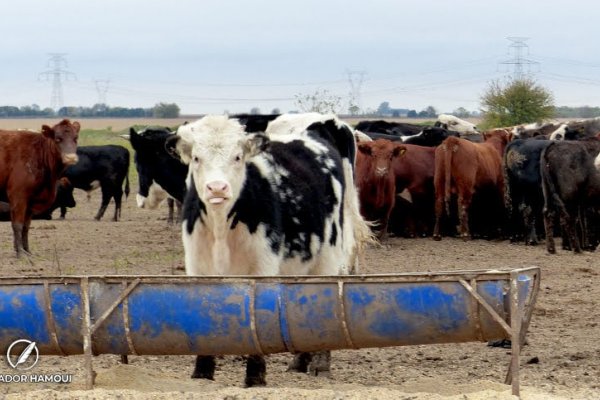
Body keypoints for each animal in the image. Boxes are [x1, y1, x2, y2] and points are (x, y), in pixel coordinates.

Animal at [0, 119, 79, 256]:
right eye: (58, 139)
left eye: (76, 138)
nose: (71, 158)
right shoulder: (18, 197)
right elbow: (17, 225)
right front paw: (20, 253)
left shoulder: (31, 202)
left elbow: (26, 226)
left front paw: (27, 250)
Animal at [165, 115, 360, 388]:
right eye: (196, 158)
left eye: (237, 157)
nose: (217, 188)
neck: (220, 226)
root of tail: (321, 124)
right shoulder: (197, 266)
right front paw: (202, 372)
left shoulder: (262, 267)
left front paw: (255, 375)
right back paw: (300, 362)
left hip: (329, 256)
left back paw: (320, 364)